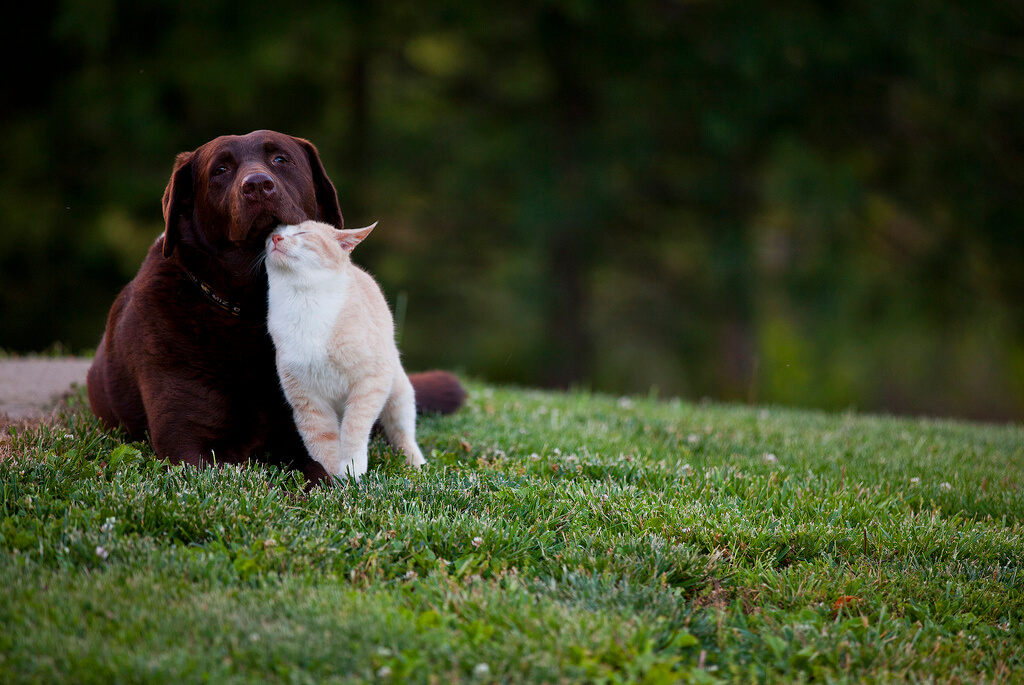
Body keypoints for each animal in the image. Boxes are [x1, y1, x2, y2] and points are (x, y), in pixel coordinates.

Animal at [266, 219, 425, 481]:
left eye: (303, 233)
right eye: (273, 234)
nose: (276, 239)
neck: (303, 300)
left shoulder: (371, 381)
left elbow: (355, 426)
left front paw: (352, 468)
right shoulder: (306, 398)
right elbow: (321, 439)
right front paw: (332, 477)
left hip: (399, 393)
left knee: (403, 433)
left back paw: (416, 464)